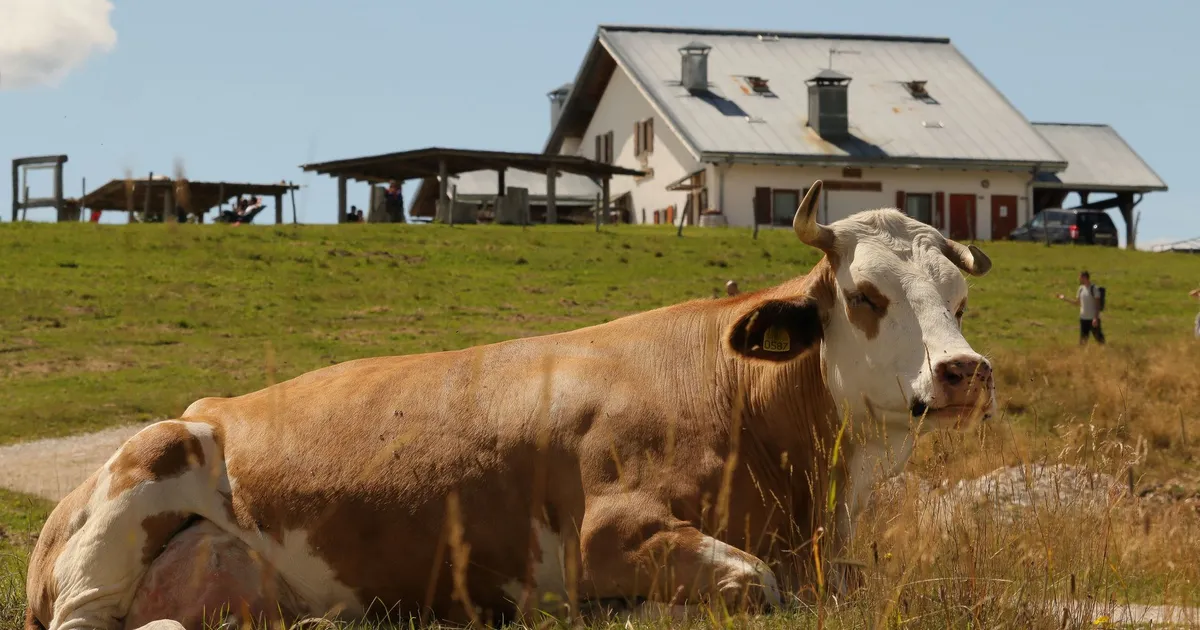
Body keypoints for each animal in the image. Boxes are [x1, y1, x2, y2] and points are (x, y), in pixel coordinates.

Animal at [25, 181, 996, 630]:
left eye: (960, 299)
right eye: (866, 296)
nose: (964, 371)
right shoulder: (608, 534)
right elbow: (755, 582)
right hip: (147, 470)